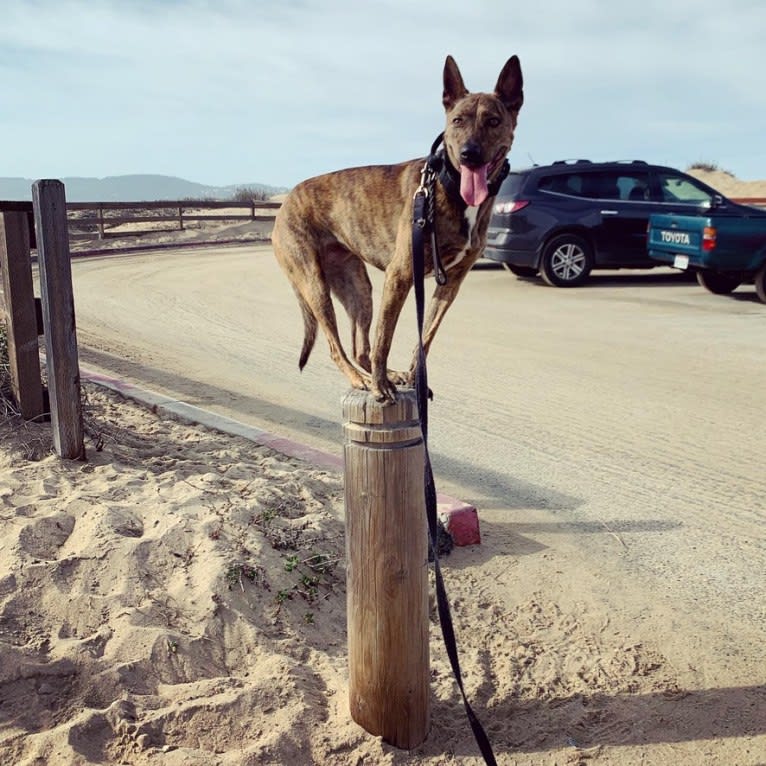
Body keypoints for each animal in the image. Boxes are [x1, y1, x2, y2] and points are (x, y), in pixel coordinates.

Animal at [272, 55, 524, 402]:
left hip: (358, 288)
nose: (468, 155)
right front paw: (381, 386)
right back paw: (363, 380)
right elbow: (385, 338)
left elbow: (425, 338)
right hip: (314, 284)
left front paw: (415, 379)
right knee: (339, 347)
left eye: (494, 121)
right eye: (457, 121)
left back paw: (387, 374)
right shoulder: (401, 274)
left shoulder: (451, 284)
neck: (448, 184)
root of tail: (283, 203)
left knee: (360, 347)